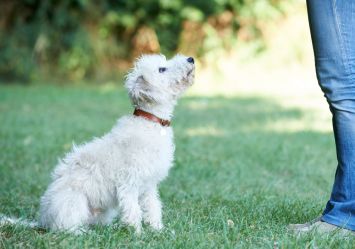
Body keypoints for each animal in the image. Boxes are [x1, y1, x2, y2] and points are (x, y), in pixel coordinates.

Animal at [0, 53, 195, 233]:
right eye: (162, 69)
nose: (191, 59)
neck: (150, 121)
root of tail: (43, 220)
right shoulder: (129, 183)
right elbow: (133, 210)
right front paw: (138, 234)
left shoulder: (149, 186)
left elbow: (153, 207)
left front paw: (158, 230)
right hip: (75, 200)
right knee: (66, 228)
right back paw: (83, 233)